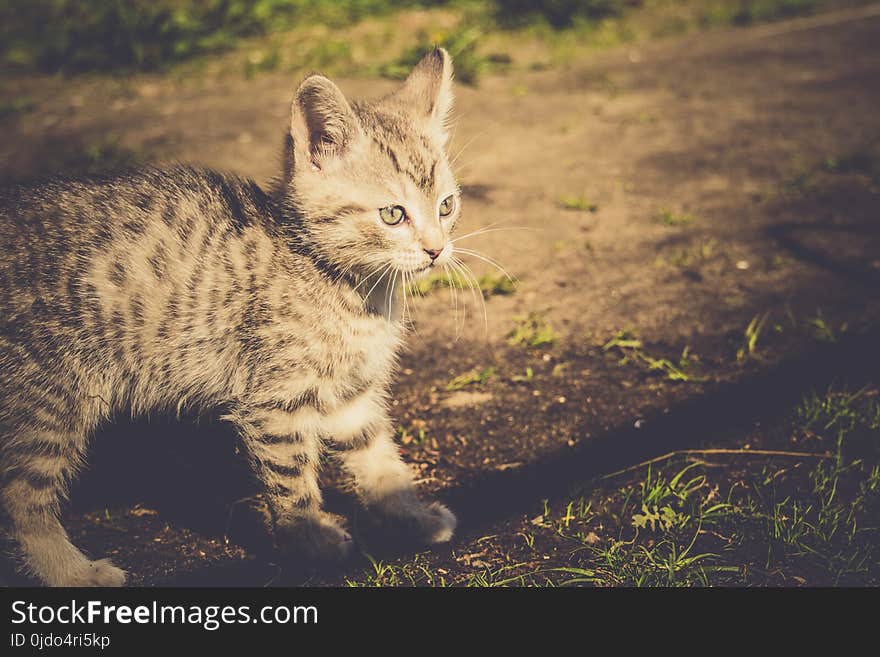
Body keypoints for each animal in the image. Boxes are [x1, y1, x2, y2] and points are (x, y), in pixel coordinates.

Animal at [1, 48, 460, 588]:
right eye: (392, 214)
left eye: (446, 206)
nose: (436, 250)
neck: (349, 285)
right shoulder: (273, 399)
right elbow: (291, 483)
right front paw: (314, 542)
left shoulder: (352, 392)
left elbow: (379, 459)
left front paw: (413, 517)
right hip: (47, 399)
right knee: (20, 496)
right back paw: (72, 572)